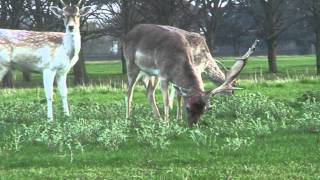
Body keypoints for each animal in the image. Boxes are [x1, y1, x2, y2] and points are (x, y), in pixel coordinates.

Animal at [122, 23, 258, 126]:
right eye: (188, 108)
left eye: (205, 110)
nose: (193, 125)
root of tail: (128, 34)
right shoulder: (165, 75)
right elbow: (167, 100)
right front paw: (168, 123)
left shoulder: (174, 79)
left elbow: (179, 95)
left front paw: (178, 119)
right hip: (131, 65)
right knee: (129, 91)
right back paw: (128, 119)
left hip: (150, 73)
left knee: (149, 92)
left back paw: (158, 118)